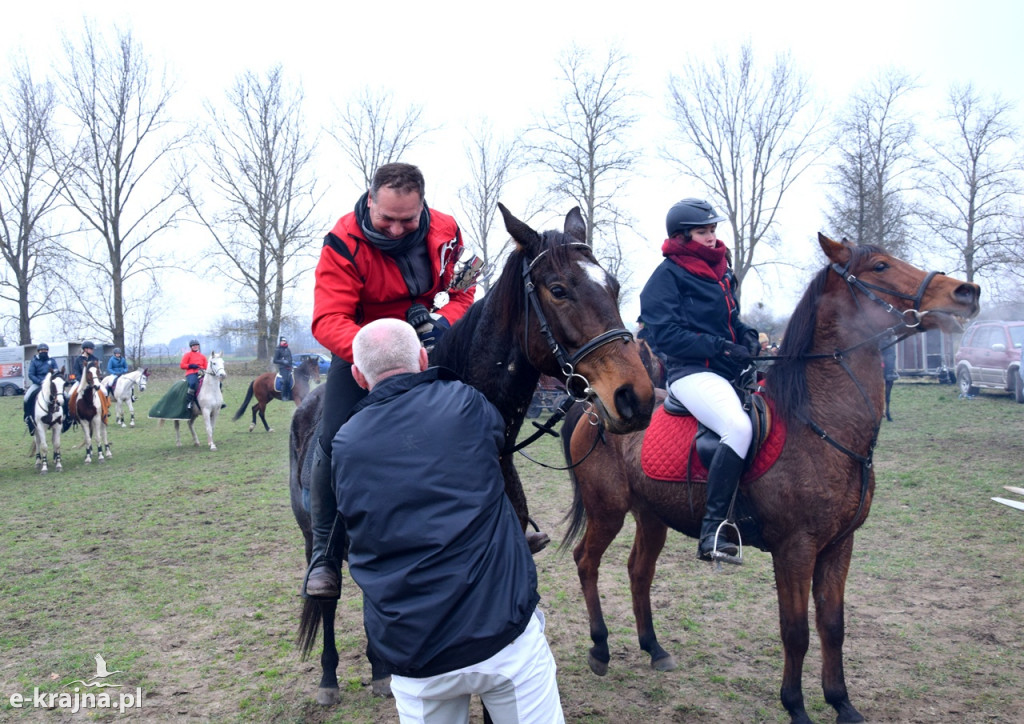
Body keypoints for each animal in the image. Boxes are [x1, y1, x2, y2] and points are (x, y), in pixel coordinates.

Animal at [288, 203, 655, 708]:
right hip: (315, 541)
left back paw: (382, 671)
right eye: (558, 289)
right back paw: (328, 676)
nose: (635, 397)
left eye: (614, 287)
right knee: (327, 597)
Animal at [561, 233, 983, 724]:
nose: (967, 293)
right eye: (880, 266)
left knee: (639, 571)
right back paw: (601, 649)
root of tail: (595, 407)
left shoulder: (839, 545)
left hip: (652, 515)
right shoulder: (795, 549)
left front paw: (842, 703)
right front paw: (796, 706)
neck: (819, 424)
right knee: (586, 562)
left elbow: (832, 626)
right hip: (607, 510)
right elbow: (795, 630)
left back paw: (654, 648)